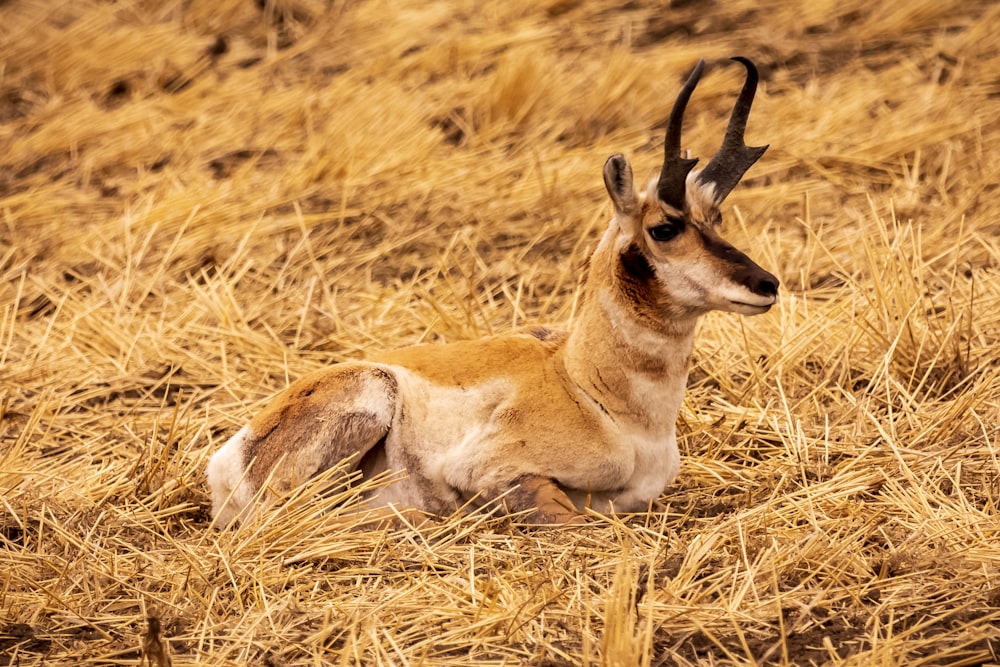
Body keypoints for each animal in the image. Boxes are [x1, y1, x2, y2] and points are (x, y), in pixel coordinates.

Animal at [205, 57, 780, 528]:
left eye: (716, 218)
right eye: (664, 227)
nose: (767, 284)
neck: (586, 384)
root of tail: (229, 456)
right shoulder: (497, 475)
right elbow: (568, 516)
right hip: (368, 400)